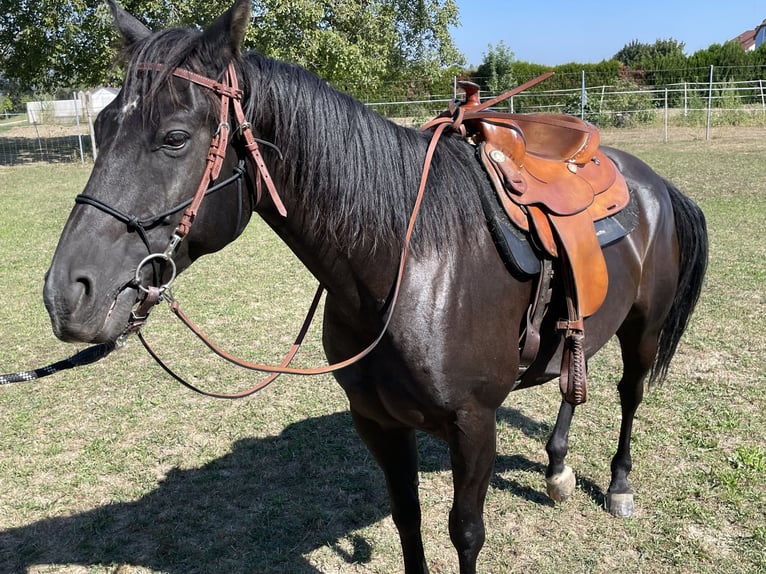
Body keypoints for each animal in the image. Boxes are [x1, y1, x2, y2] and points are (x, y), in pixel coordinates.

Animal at [43, 2, 708, 572]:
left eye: (176, 137)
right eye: (102, 125)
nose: (66, 294)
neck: (408, 267)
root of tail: (651, 182)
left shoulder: (474, 426)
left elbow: (466, 534)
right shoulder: (377, 421)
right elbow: (406, 520)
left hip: (643, 329)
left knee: (628, 394)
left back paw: (618, 485)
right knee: (575, 373)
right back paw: (558, 468)